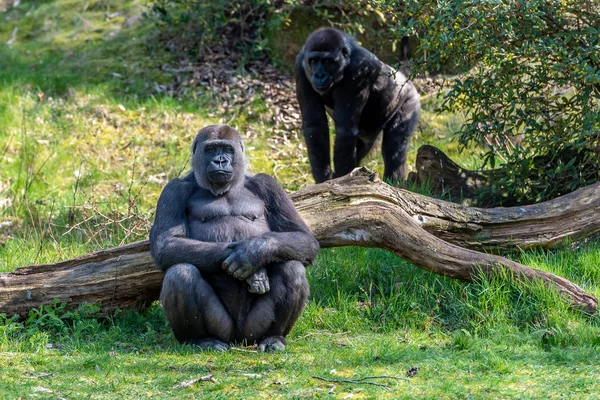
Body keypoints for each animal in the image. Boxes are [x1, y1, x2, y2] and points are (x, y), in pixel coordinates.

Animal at [150, 124, 318, 350]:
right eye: (211, 149)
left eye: (227, 149)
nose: (220, 160)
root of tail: (239, 339)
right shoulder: (173, 190)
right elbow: (166, 244)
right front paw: (252, 267)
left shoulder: (268, 184)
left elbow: (303, 237)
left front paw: (253, 253)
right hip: (224, 330)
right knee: (180, 273)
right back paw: (202, 339)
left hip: (252, 331)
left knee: (292, 268)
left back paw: (273, 337)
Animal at [296, 27, 422, 183]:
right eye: (313, 61)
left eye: (327, 61)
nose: (319, 75)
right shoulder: (300, 66)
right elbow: (315, 126)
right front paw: (324, 179)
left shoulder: (360, 69)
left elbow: (345, 131)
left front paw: (340, 181)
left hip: (410, 100)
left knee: (394, 147)